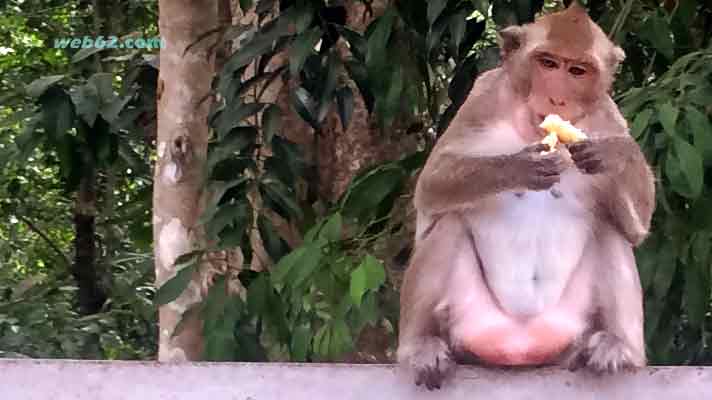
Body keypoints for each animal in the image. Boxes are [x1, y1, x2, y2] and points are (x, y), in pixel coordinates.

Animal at [396, 3, 656, 391]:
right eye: (547, 63)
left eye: (577, 70)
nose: (557, 98)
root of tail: (521, 347)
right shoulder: (484, 96)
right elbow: (431, 187)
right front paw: (520, 166)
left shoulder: (608, 117)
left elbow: (637, 227)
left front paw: (614, 155)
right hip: (470, 323)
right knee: (450, 222)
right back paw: (419, 347)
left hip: (568, 330)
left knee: (611, 231)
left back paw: (620, 349)